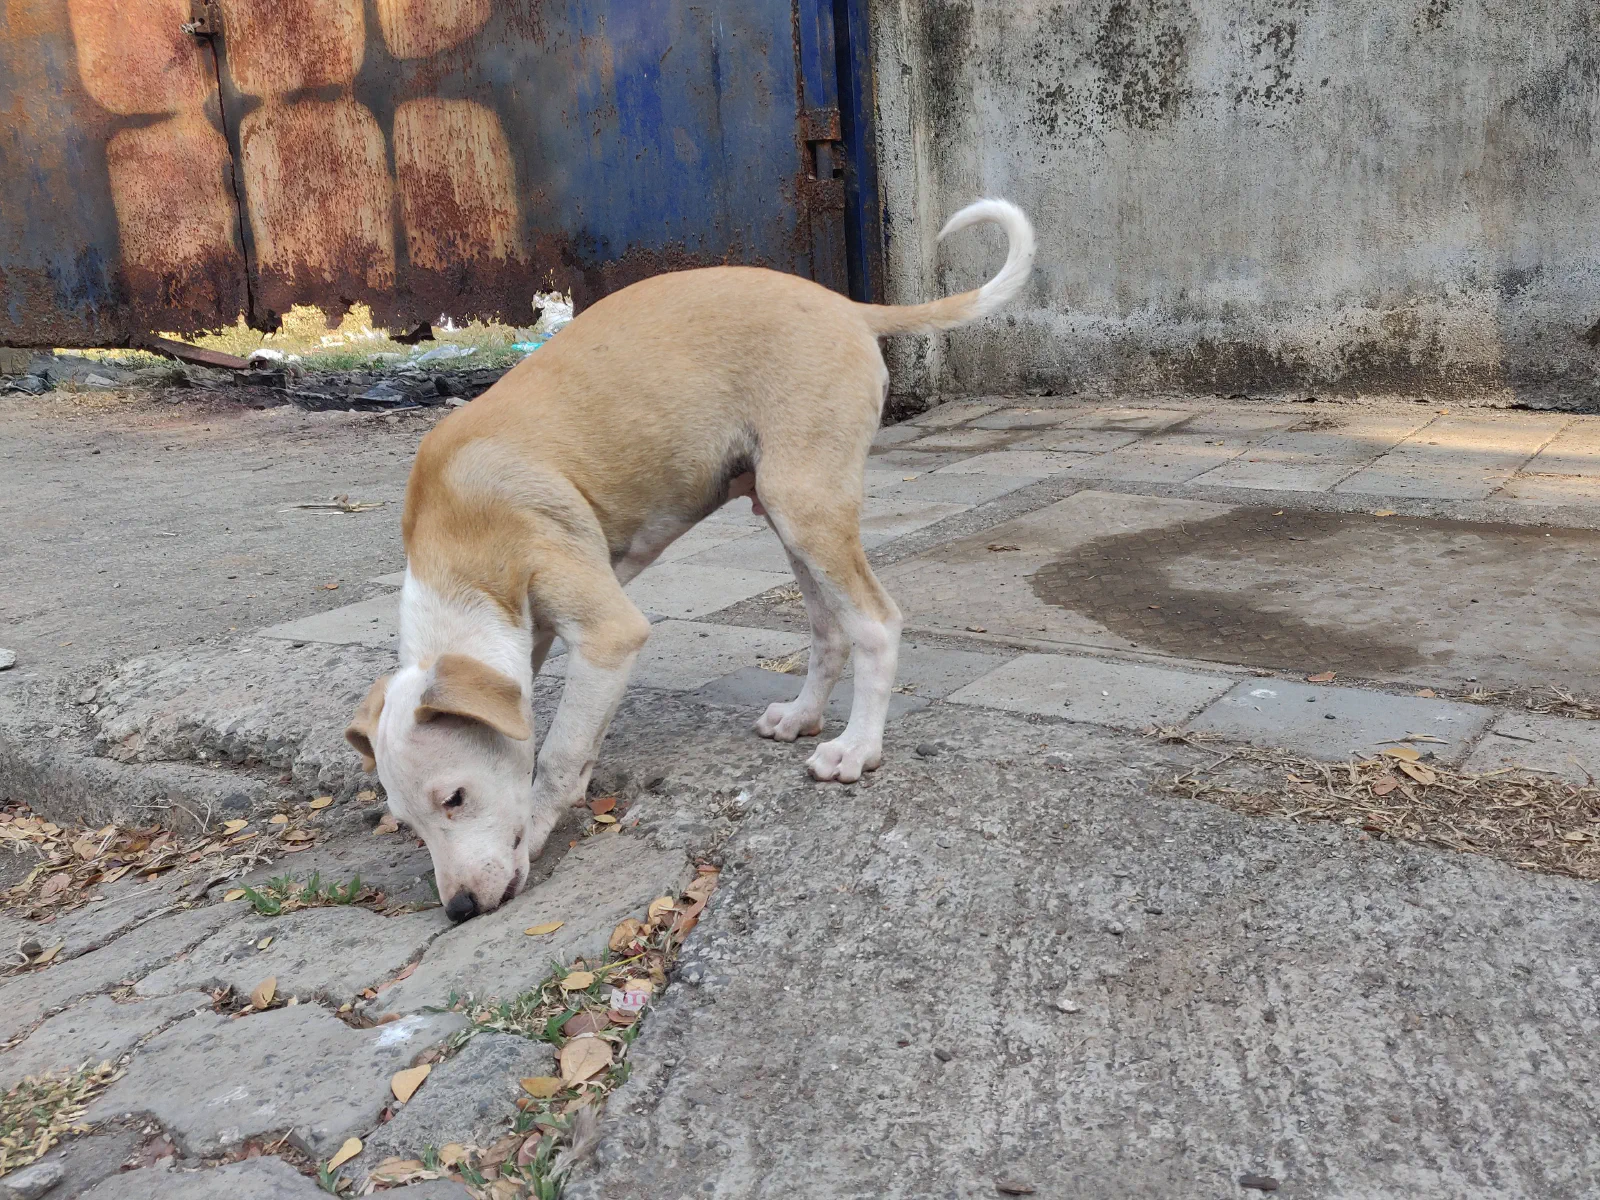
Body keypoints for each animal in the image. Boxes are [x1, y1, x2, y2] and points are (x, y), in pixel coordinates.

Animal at [344, 202, 1030, 928]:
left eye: (455, 798)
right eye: (407, 822)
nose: (460, 909)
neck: (456, 532)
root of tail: (845, 304)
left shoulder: (608, 633)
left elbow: (557, 756)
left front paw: (532, 833)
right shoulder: (524, 635)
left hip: (805, 502)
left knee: (876, 623)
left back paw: (857, 749)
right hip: (786, 513)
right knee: (830, 629)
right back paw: (802, 715)